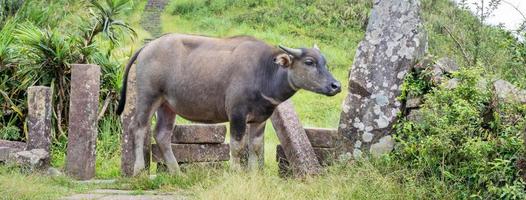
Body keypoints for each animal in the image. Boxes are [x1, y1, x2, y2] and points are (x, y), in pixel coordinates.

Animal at [117, 34, 342, 175]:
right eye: (309, 62)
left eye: (325, 63)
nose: (336, 85)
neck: (264, 72)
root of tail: (148, 46)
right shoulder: (237, 114)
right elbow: (237, 146)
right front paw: (236, 172)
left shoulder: (260, 119)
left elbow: (256, 147)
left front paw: (253, 174)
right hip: (148, 96)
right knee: (137, 127)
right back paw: (138, 170)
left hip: (167, 105)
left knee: (162, 134)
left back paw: (177, 172)